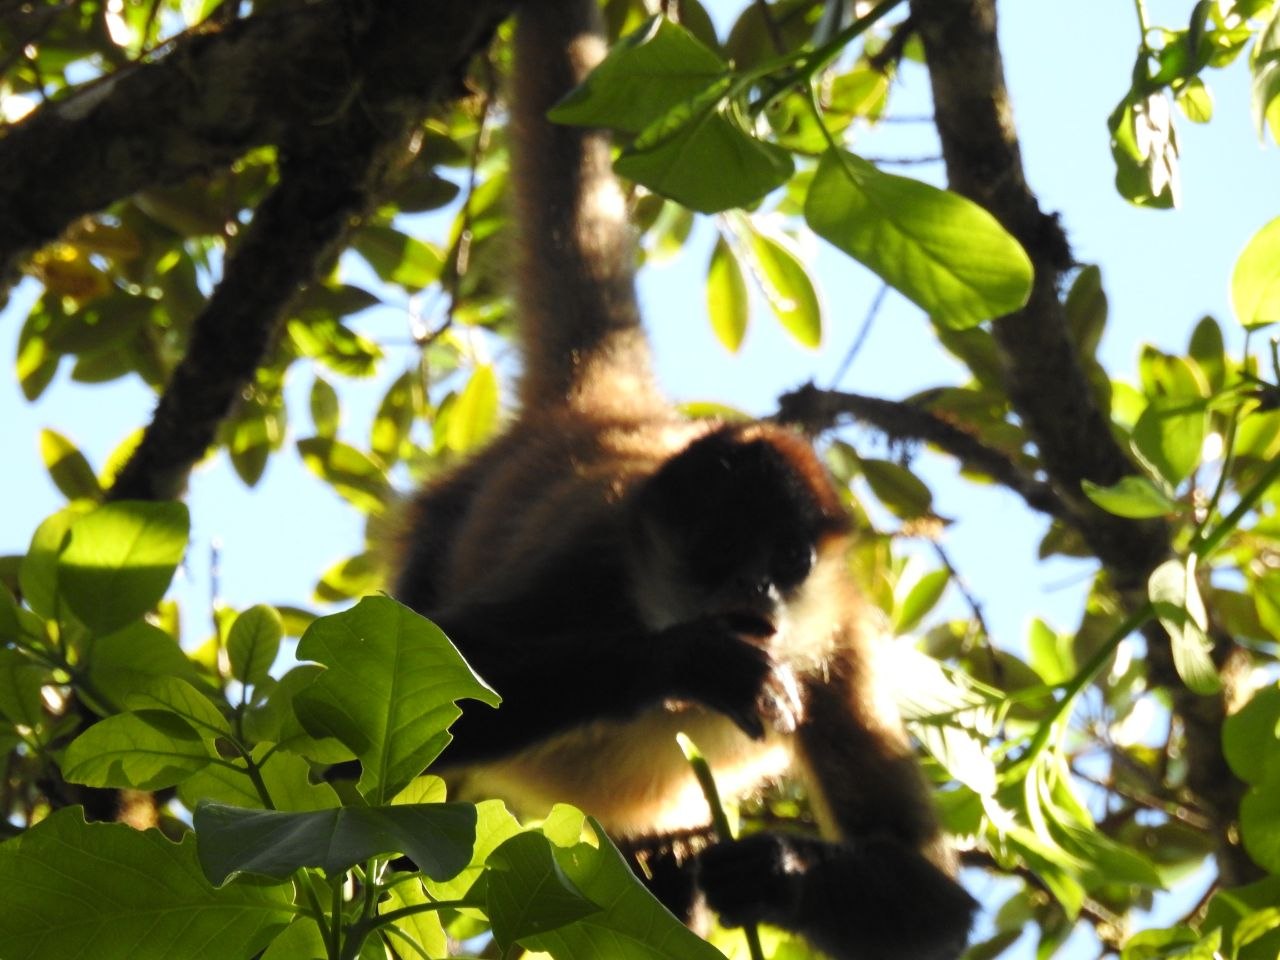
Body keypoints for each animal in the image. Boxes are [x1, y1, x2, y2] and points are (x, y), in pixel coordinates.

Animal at [389, 0, 977, 956]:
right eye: (717, 549)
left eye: (787, 563)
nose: (759, 597)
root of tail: (608, 412)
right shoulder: (593, 559)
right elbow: (441, 686)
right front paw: (692, 661)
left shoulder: (838, 649)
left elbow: (938, 910)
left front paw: (777, 872)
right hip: (445, 520)